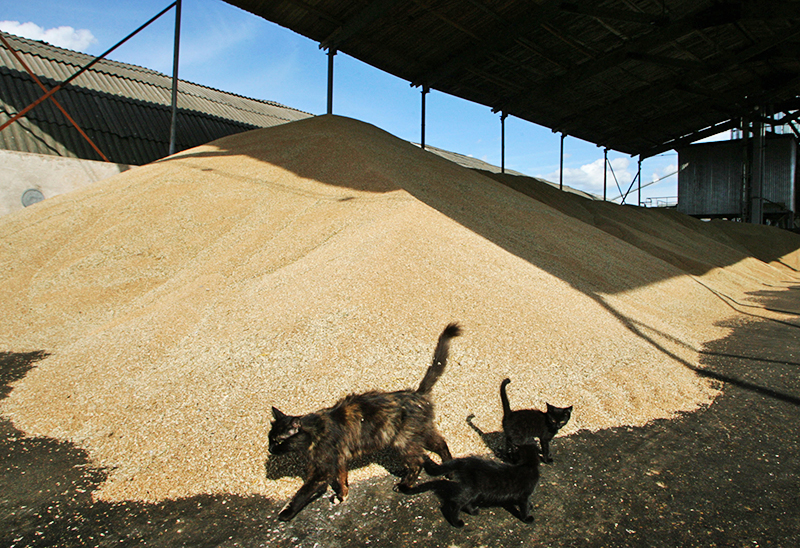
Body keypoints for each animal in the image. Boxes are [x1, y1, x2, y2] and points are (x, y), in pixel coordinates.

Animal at [268, 324, 462, 520]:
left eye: (278, 441)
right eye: (270, 439)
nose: (270, 448)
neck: (314, 431)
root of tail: (417, 393)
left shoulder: (322, 470)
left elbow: (303, 493)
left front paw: (286, 513)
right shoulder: (339, 461)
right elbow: (341, 479)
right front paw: (342, 496)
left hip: (403, 441)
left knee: (417, 463)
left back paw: (404, 485)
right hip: (422, 432)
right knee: (440, 444)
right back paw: (449, 471)